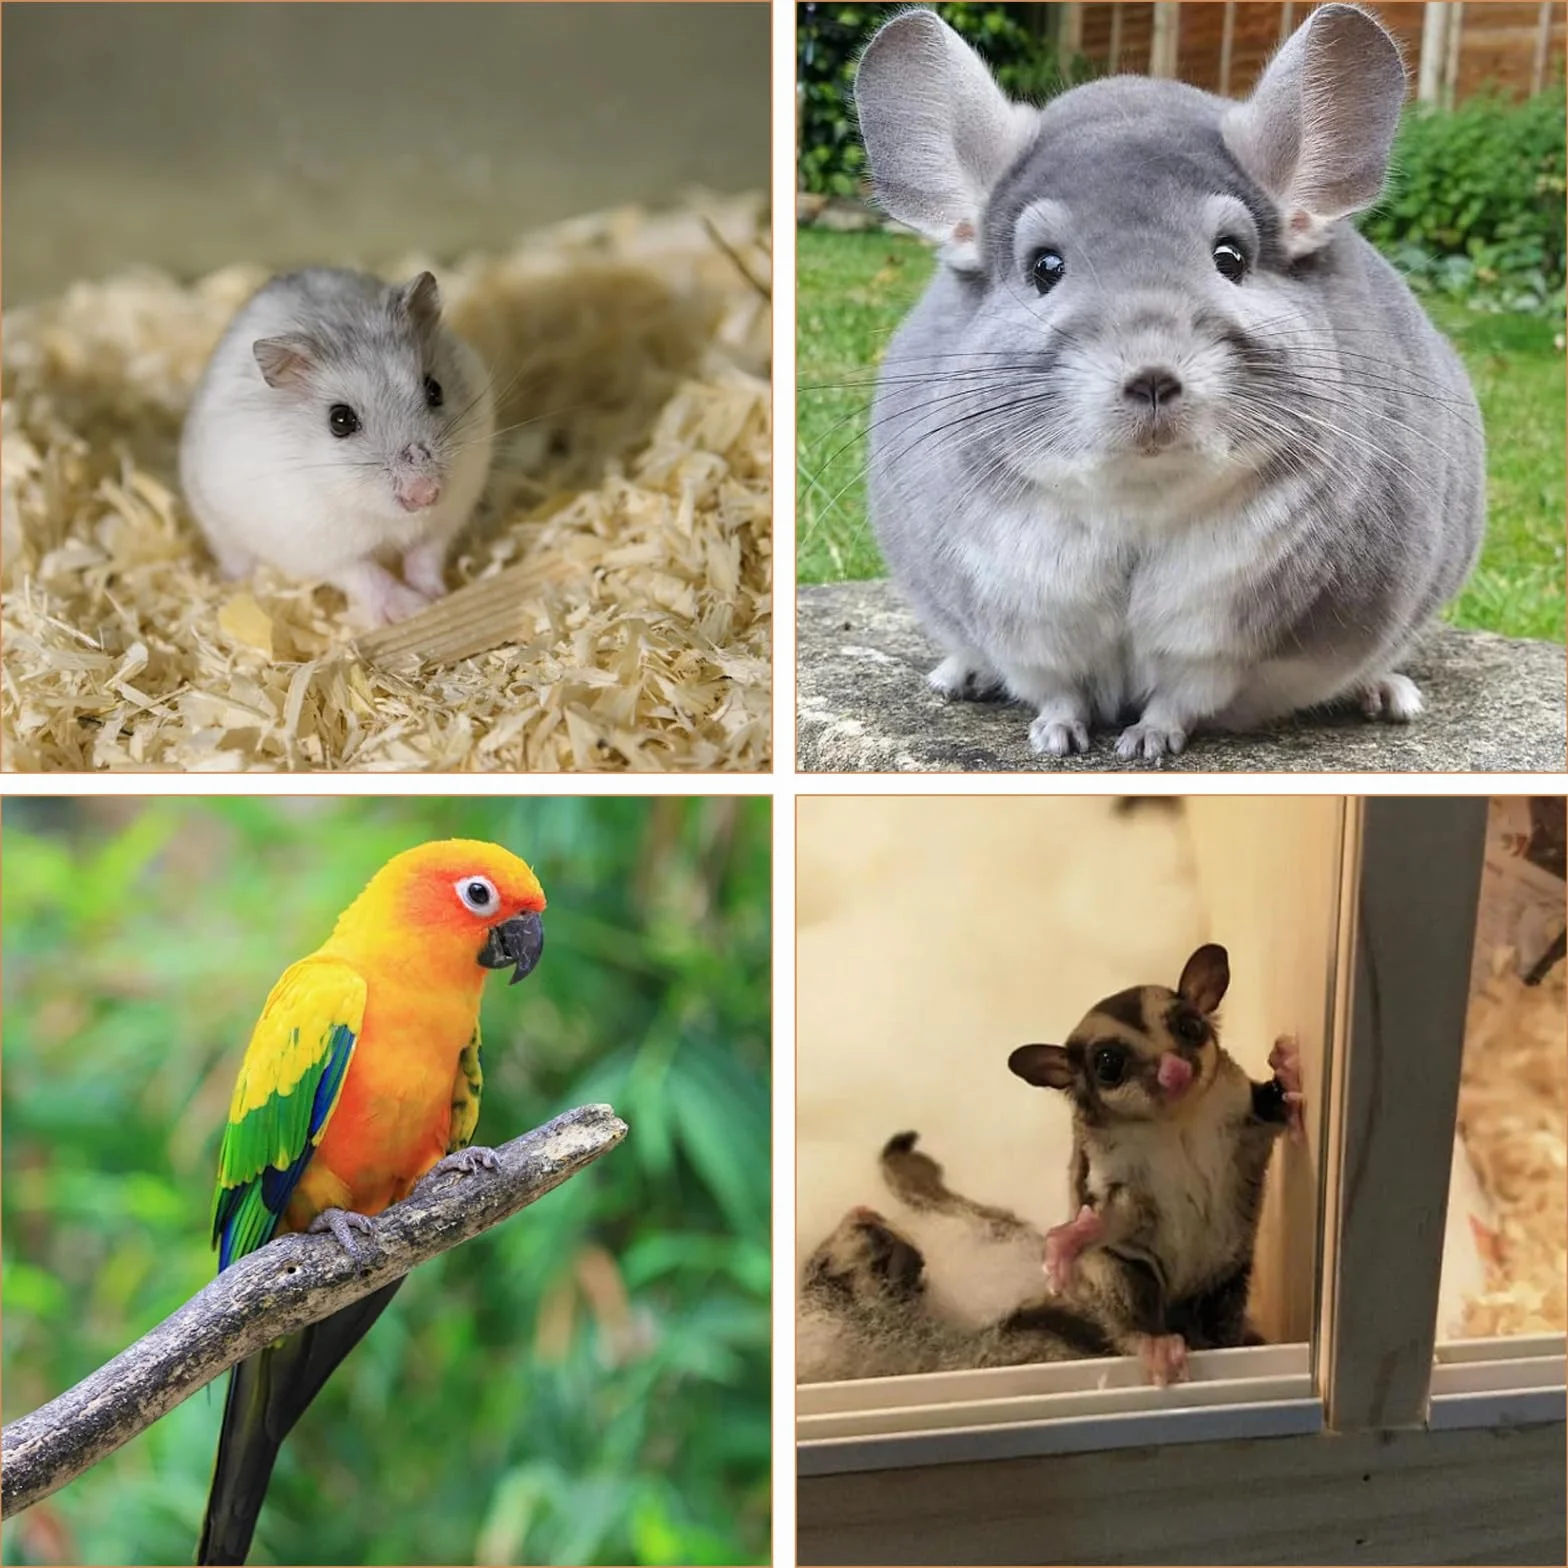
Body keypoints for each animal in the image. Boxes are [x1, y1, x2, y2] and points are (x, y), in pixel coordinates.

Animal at [180, 268, 496, 626]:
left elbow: (426, 553)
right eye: (340, 420)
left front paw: (434, 594)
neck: (383, 516)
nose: (425, 494)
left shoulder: (449, 513)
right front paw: (412, 607)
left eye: (435, 389)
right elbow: (365, 575)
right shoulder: (318, 548)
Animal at [853, 5, 1485, 760]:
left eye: (1230, 258)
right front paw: (1055, 738)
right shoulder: (1026, 624)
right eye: (1044, 267)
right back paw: (957, 677)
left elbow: (1179, 699)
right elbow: (1055, 689)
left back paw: (1387, 694)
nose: (1152, 376)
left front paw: (1144, 745)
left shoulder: (1217, 642)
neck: (1139, 501)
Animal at [1007, 944, 1303, 1385]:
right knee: (1127, 1286)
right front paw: (1071, 1239)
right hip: (1120, 1274)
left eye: (1189, 1027)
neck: (1174, 1122)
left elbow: (1269, 1108)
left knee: (1222, 1308)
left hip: (1225, 1278)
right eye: (1108, 1063)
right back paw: (1157, 1344)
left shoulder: (1239, 1110)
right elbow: (1112, 1217)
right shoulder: (1116, 1169)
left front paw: (1287, 1067)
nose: (1175, 1069)